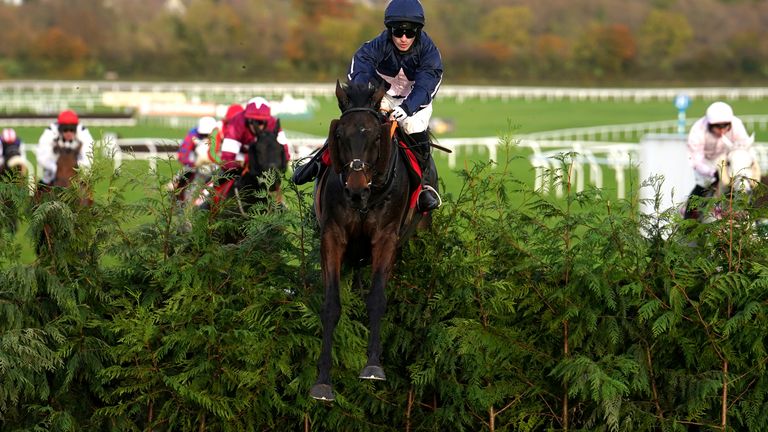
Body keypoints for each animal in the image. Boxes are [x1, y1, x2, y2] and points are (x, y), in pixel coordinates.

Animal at [310, 81, 432, 402]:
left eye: (376, 135)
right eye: (340, 135)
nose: (355, 189)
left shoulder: (386, 238)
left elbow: (377, 299)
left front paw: (373, 366)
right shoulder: (332, 236)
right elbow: (331, 304)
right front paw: (323, 381)